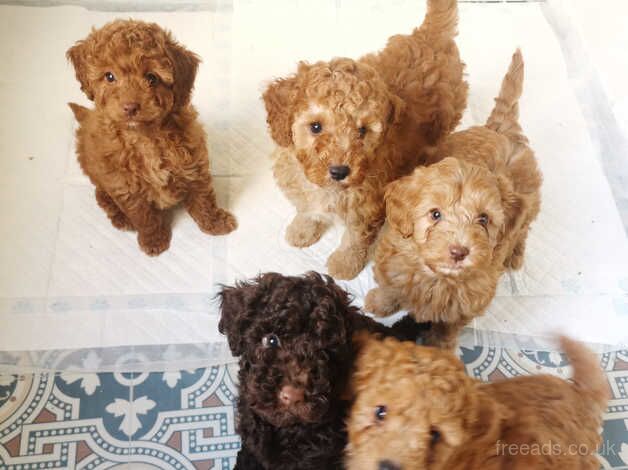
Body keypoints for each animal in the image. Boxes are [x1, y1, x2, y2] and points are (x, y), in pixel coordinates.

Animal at [67, 20, 237, 258]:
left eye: (152, 78)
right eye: (109, 76)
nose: (130, 107)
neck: (145, 136)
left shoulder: (193, 161)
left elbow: (203, 197)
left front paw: (215, 222)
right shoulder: (125, 186)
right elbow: (144, 216)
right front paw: (154, 240)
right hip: (100, 177)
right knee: (102, 196)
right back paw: (120, 218)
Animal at [262, 0, 468, 280]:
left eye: (362, 131)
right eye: (315, 127)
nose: (340, 171)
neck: (328, 189)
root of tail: (429, 34)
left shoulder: (368, 207)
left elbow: (355, 239)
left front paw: (344, 264)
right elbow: (307, 210)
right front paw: (302, 230)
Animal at [366, 50, 544, 348]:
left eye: (483, 219)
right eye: (435, 214)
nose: (459, 252)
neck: (437, 276)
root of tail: (501, 130)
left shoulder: (468, 303)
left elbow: (447, 326)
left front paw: (440, 346)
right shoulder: (393, 264)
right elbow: (390, 288)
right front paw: (378, 304)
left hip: (531, 203)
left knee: (522, 229)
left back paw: (515, 255)